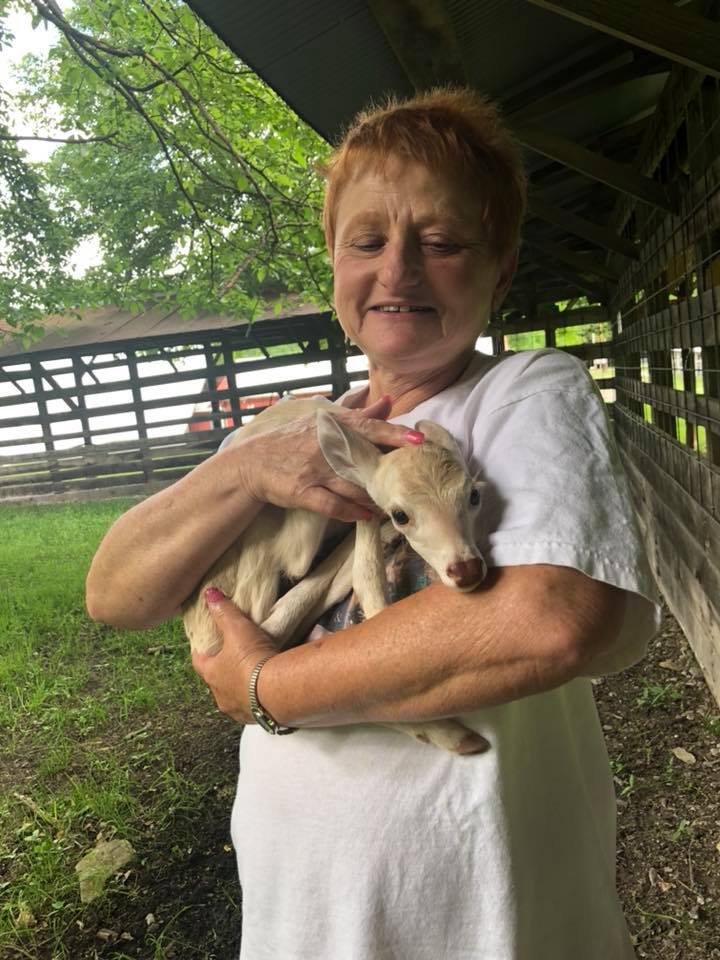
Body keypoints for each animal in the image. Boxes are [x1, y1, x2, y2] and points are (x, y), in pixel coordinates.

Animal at [182, 395, 489, 754]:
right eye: (401, 514)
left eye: (474, 496)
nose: (466, 570)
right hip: (262, 551)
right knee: (272, 614)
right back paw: (456, 735)